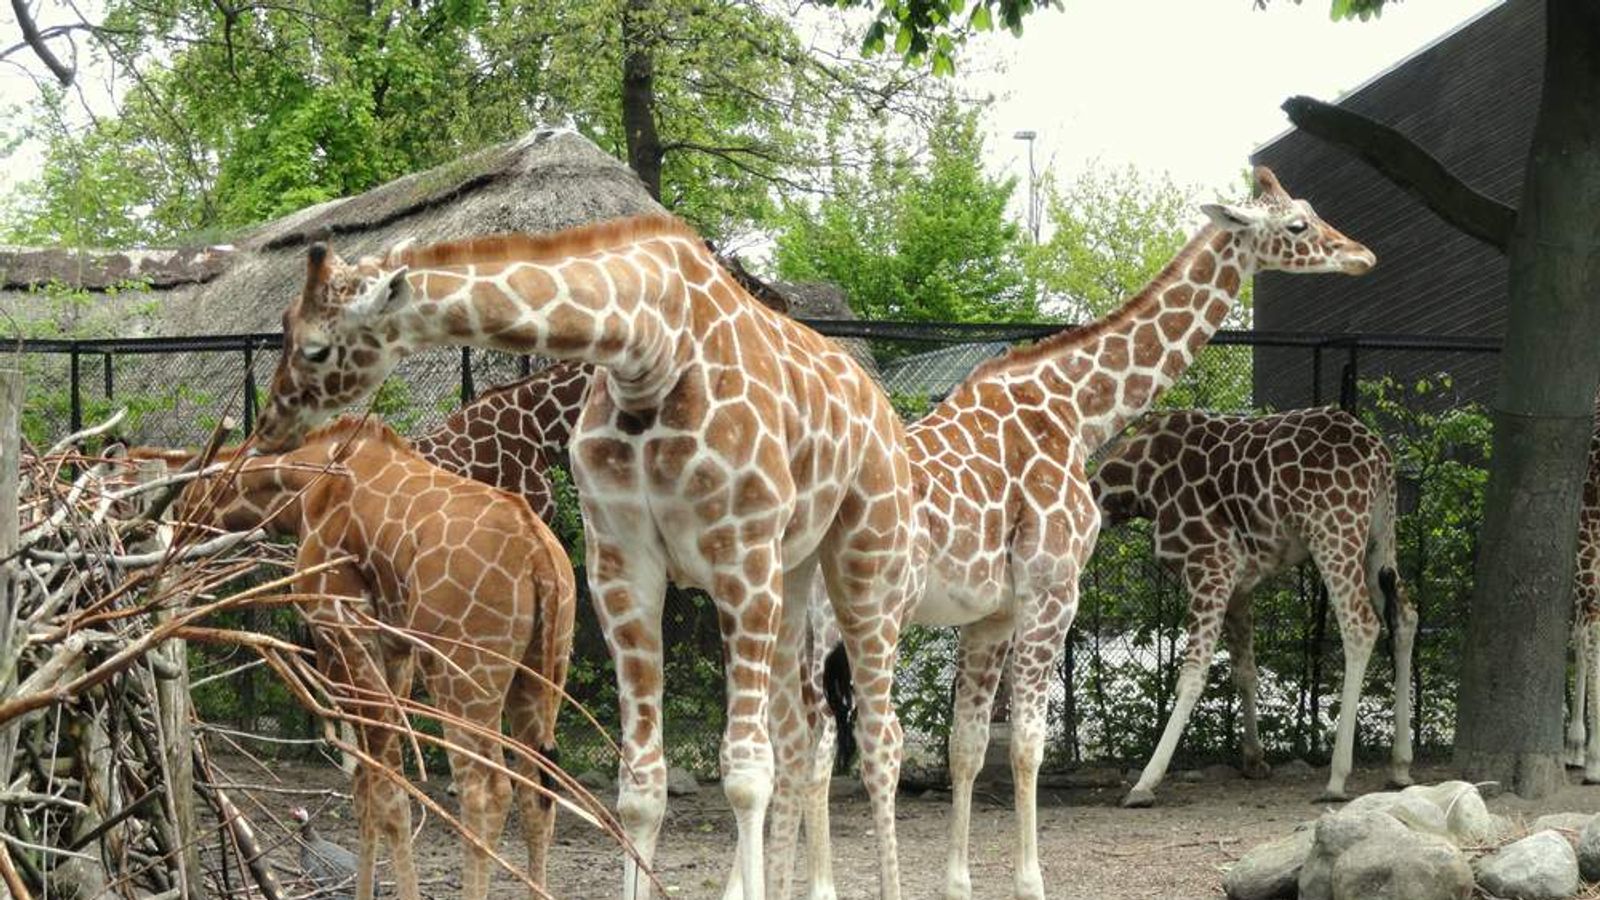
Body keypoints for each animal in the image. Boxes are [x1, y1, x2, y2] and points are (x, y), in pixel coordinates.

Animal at [249, 216, 928, 896]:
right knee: (800, 736)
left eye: (314, 348)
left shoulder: (740, 553)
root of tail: (880, 404)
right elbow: (641, 786)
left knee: (877, 738)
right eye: (283, 329)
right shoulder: (622, 564)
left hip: (864, 559)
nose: (271, 423)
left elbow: (742, 774)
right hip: (792, 573)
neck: (651, 350)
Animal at [787, 166, 1376, 896]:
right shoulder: (1051, 590)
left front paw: (959, 882)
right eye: (1297, 224)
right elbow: (1029, 744)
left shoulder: (992, 615)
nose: (1360, 255)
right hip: (878, 613)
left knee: (807, 745)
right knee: (873, 741)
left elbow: (966, 747)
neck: (1077, 412)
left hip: (811, 624)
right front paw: (1030, 881)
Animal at [1088, 406, 1414, 807]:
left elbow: (1192, 675)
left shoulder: (1210, 565)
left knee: (1361, 624)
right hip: (1380, 536)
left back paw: (1337, 778)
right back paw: (1400, 766)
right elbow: (1244, 671)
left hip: (1334, 531)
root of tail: (1379, 454)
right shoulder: (1239, 586)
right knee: (1405, 615)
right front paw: (1254, 759)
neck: (1139, 485)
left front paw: (1145, 783)